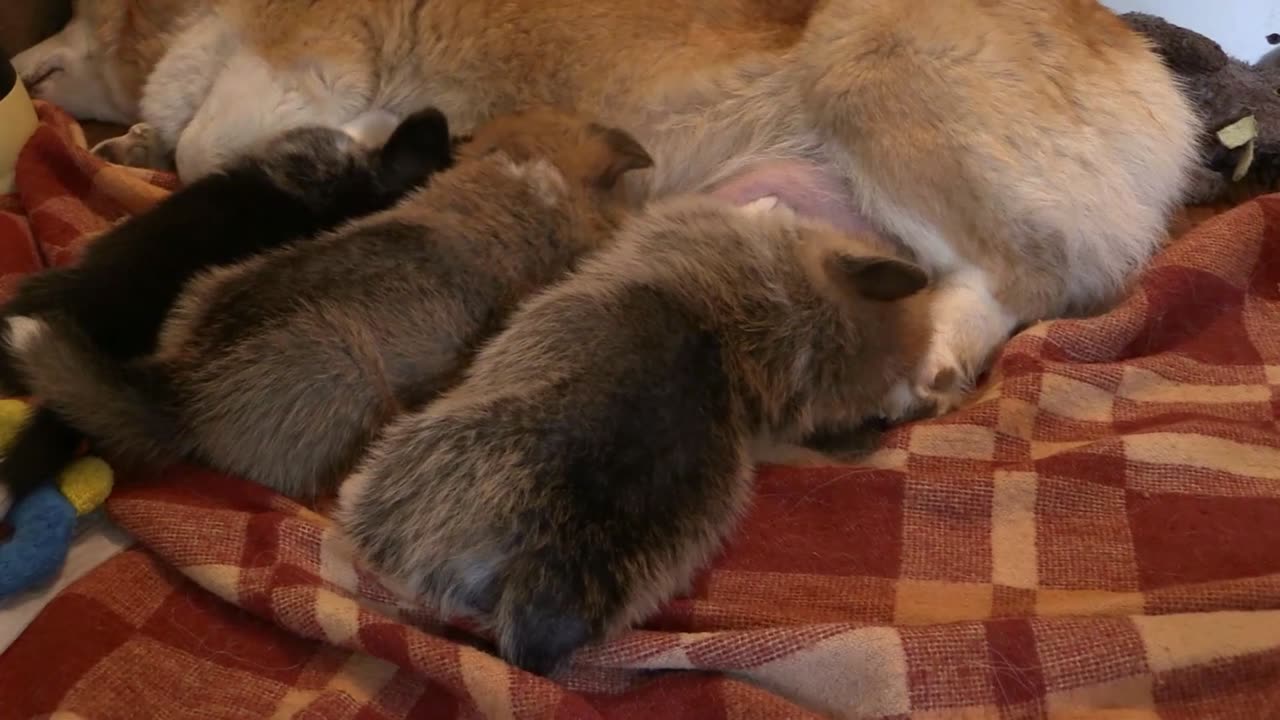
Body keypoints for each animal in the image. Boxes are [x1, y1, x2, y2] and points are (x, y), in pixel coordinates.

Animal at [15, 0, 1198, 417]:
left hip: (869, 71)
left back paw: (942, 353)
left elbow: (211, 137)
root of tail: (1155, 84)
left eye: (74, 11)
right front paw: (131, 142)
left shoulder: (295, 60)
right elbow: (178, 140)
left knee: (1027, 274)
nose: (17, 66)